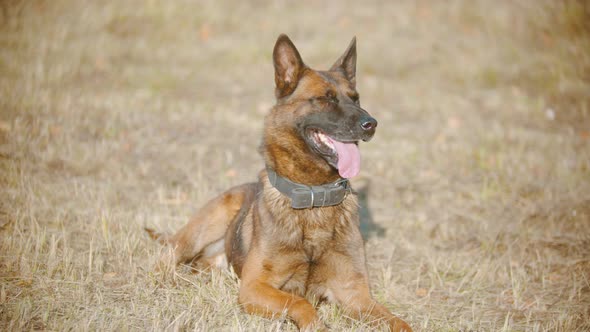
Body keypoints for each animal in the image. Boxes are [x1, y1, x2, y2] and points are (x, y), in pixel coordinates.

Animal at [147, 34, 412, 332]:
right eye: (326, 99)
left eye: (356, 99)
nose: (371, 124)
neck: (314, 197)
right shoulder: (254, 287)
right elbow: (301, 303)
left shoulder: (356, 295)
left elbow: (399, 322)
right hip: (198, 231)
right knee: (167, 257)